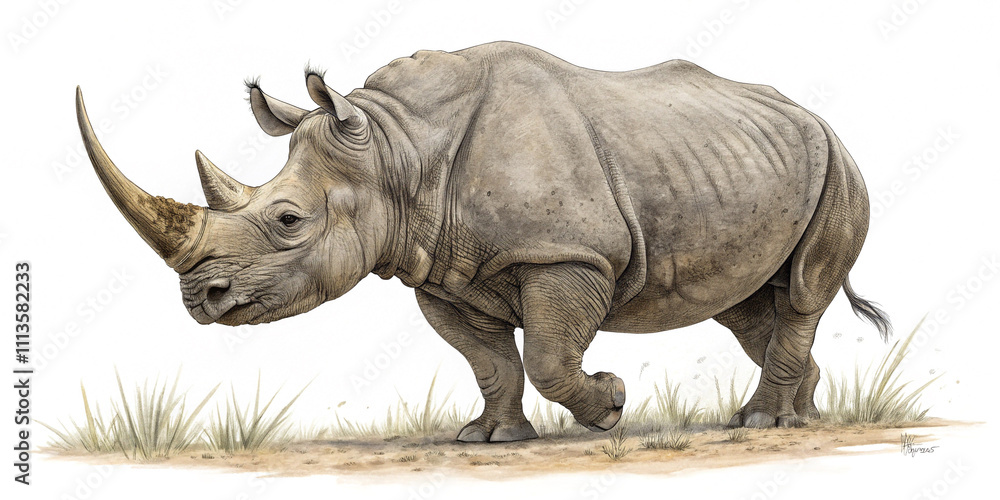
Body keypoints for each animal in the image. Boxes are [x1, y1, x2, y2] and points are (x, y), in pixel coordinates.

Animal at [77, 41, 890, 441]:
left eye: (287, 222)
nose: (199, 298)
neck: (398, 148)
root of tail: (815, 117)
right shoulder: (439, 269)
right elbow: (490, 361)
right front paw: (490, 438)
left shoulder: (566, 253)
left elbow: (550, 356)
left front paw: (612, 405)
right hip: (752, 164)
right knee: (748, 307)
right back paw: (798, 414)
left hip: (839, 165)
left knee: (804, 291)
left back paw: (764, 423)